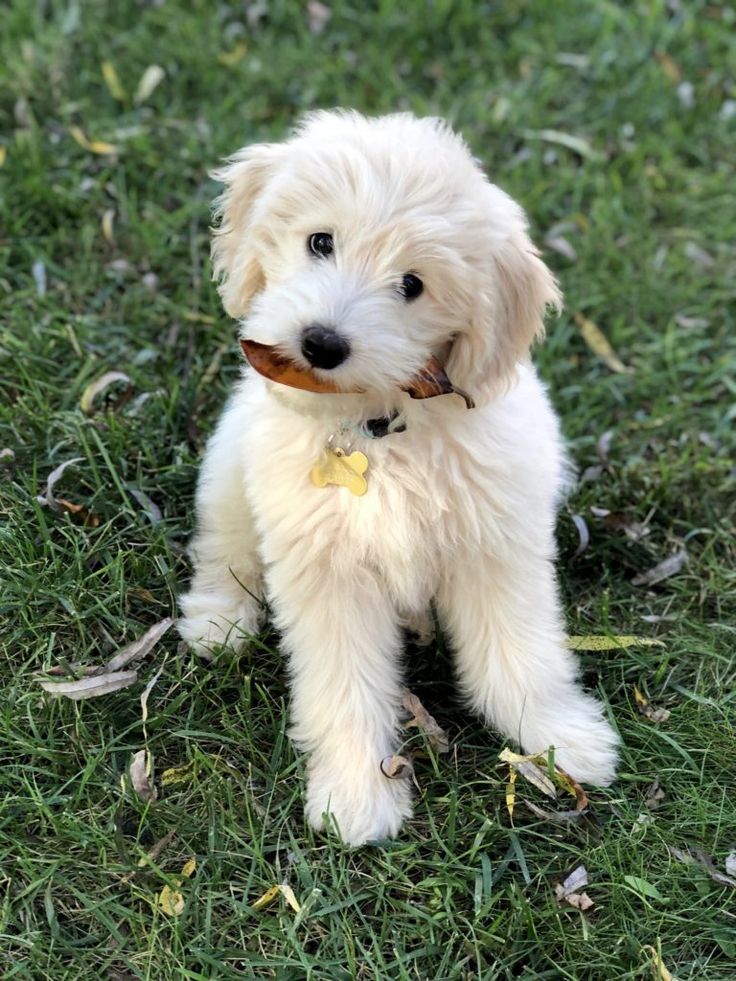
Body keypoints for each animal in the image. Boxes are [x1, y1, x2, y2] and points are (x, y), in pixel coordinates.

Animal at [180, 107, 620, 844]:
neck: (378, 426)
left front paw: (561, 737)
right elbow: (344, 687)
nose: (321, 343)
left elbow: (519, 653)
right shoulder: (327, 574)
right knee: (224, 544)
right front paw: (357, 792)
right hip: (231, 466)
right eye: (320, 242)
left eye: (412, 284)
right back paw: (219, 618)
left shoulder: (497, 546)